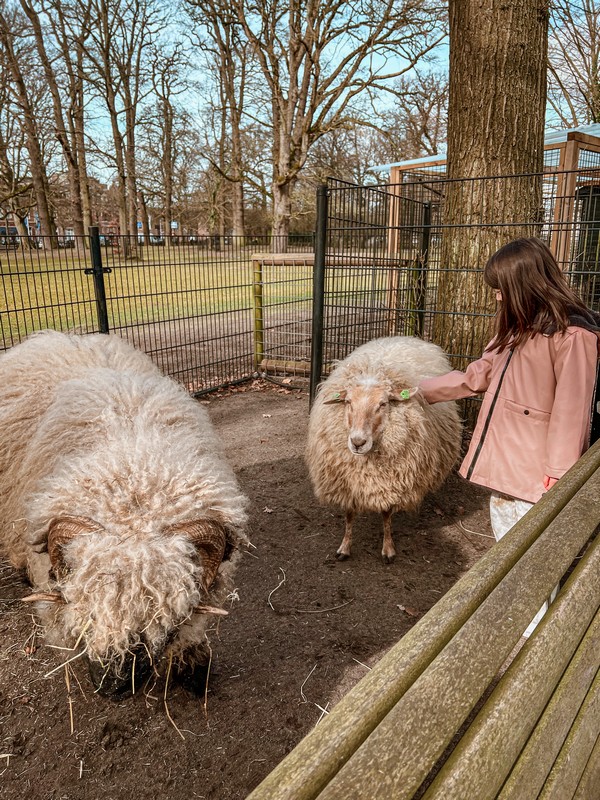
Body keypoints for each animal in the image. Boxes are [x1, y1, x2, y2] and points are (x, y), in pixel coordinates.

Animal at [308, 336, 462, 564]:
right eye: (348, 402)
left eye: (382, 404)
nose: (357, 442)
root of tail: (404, 337)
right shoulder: (347, 483)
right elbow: (349, 516)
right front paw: (344, 547)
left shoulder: (393, 480)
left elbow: (387, 515)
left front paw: (388, 548)